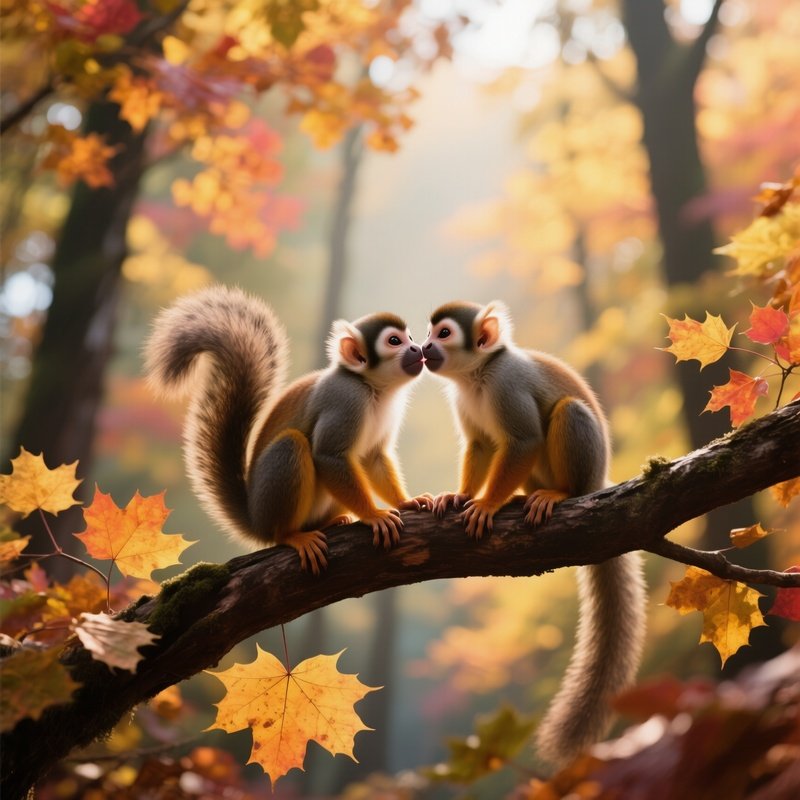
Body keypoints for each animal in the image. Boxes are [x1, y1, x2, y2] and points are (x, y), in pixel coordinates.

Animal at [144, 285, 431, 575]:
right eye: (394, 341)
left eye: (409, 337)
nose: (416, 348)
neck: (373, 388)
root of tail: (256, 521)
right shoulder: (345, 398)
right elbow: (329, 456)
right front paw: (373, 515)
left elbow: (372, 457)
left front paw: (405, 502)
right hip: (270, 506)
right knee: (292, 444)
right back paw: (290, 535)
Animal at [421, 299, 646, 766]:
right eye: (428, 332)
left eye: (444, 333)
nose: (425, 347)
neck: (476, 376)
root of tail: (599, 479)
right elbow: (482, 445)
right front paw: (461, 495)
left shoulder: (506, 384)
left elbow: (523, 440)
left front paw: (487, 504)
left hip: (586, 468)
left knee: (567, 412)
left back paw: (559, 493)